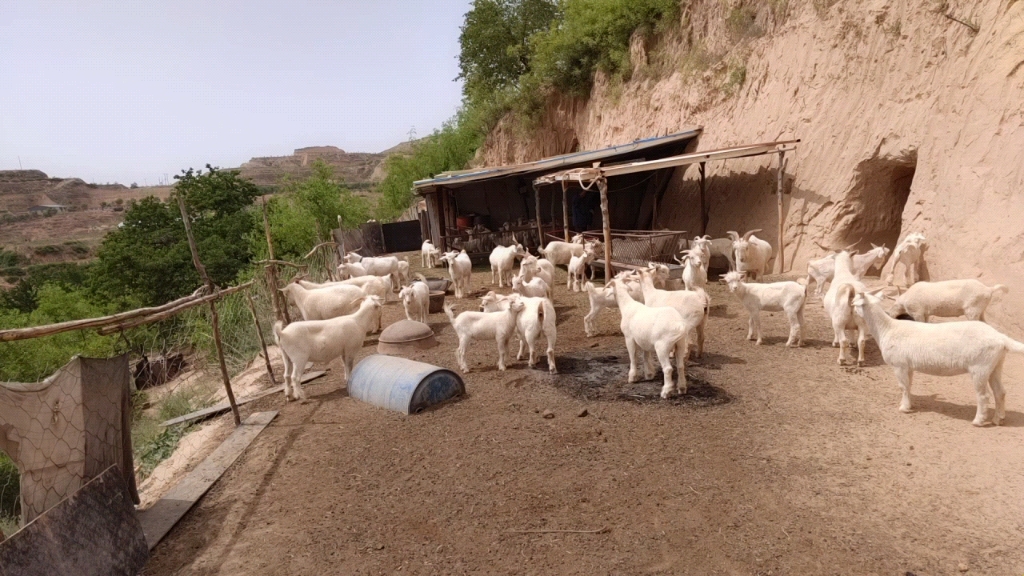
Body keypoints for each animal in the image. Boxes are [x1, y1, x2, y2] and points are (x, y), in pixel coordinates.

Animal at [847, 289, 1024, 424]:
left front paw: (903, 408)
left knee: (984, 395)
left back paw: (979, 421)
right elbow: (908, 386)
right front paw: (908, 405)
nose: (850, 310)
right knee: (1000, 392)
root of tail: (1001, 338)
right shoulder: (908, 366)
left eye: (854, 303)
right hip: (995, 364)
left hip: (980, 367)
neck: (887, 328)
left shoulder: (899, 364)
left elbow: (903, 387)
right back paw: (998, 419)